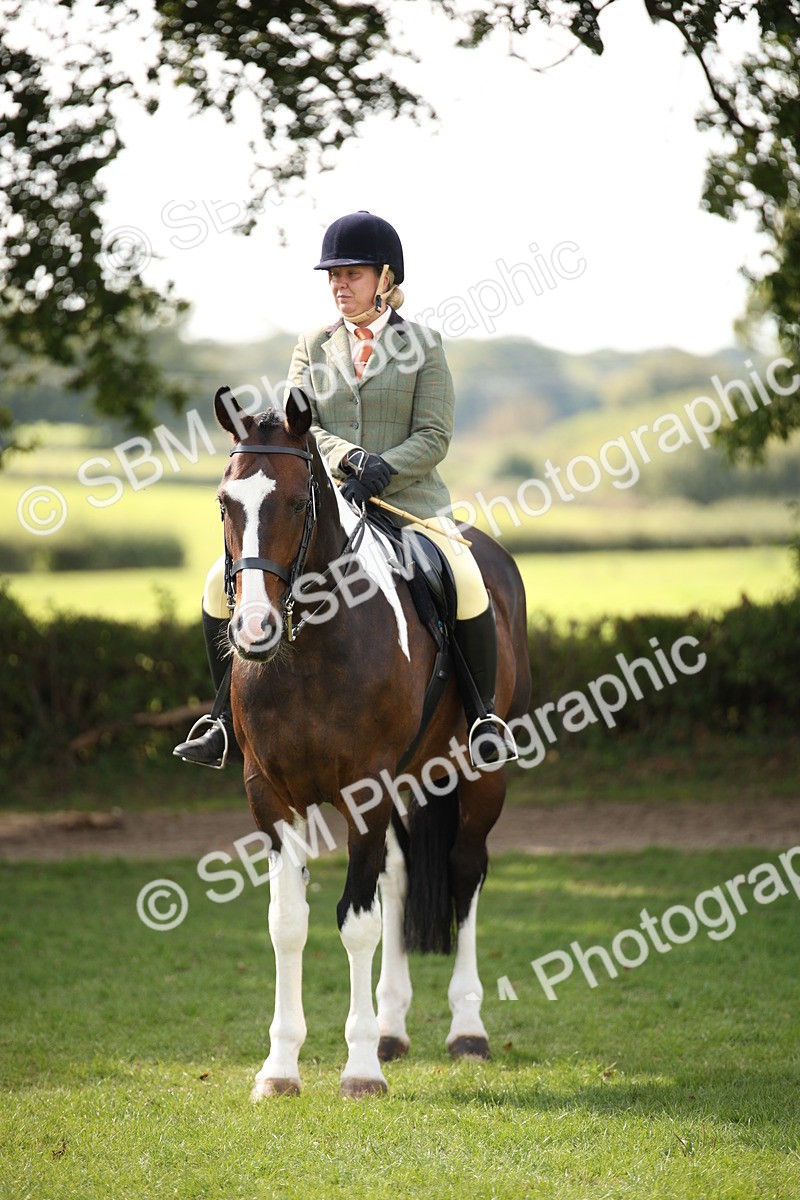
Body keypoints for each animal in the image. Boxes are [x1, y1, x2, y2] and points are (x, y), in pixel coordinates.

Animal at [214, 387, 531, 1099]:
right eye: (226, 502)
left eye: (297, 502)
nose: (253, 631)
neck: (309, 647)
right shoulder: (267, 795)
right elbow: (288, 924)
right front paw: (279, 1069)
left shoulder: (366, 789)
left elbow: (356, 923)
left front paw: (358, 1070)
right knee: (401, 875)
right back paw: (391, 1029)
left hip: (479, 776)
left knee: (465, 871)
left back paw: (466, 1031)